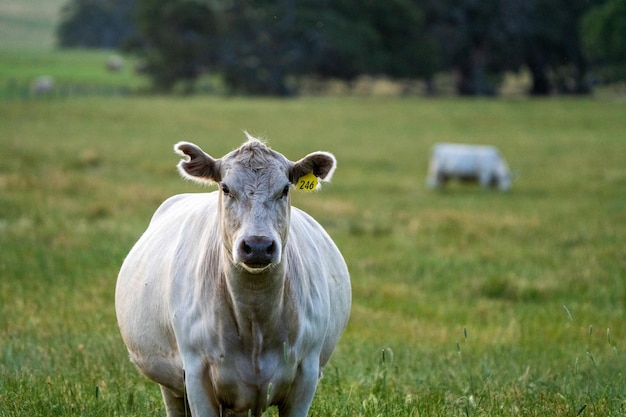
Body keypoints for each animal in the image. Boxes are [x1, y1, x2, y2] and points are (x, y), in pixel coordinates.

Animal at [116, 134, 352, 416]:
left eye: (285, 189)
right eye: (226, 188)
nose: (258, 245)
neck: (254, 317)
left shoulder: (306, 373)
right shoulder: (196, 374)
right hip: (170, 386)